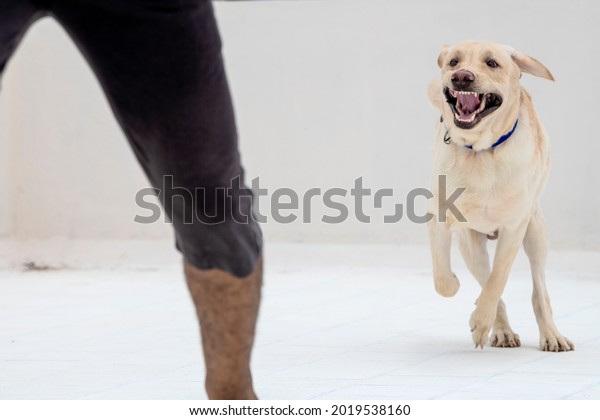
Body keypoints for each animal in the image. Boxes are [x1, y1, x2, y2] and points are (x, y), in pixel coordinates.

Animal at [426, 41, 572, 352]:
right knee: (485, 278)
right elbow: (443, 279)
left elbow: (499, 278)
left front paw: (481, 319)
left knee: (537, 291)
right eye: (454, 62)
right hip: (471, 245)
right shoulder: (441, 219)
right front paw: (456, 286)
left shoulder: (515, 227)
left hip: (536, 232)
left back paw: (550, 334)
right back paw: (500, 329)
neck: (481, 150)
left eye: (492, 63)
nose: (462, 77)